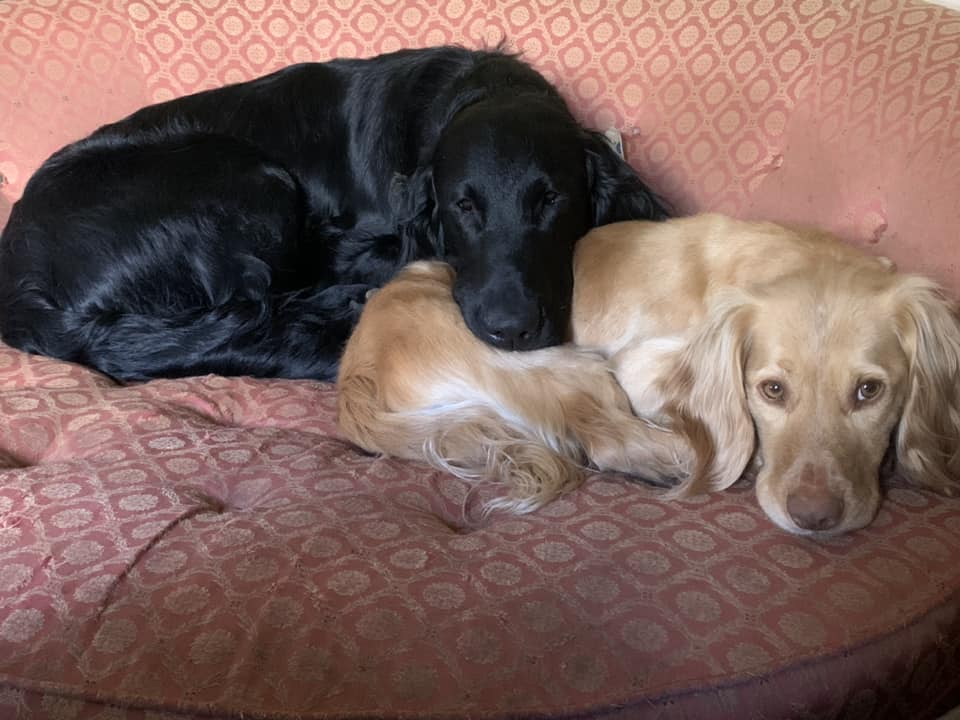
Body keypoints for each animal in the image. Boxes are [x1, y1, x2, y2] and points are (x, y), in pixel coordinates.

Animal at [0, 45, 668, 382]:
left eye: (552, 200)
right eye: (464, 206)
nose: (511, 329)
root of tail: (20, 287)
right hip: (255, 184)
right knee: (249, 310)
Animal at [334, 214, 956, 536]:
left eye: (870, 391)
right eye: (771, 390)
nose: (815, 517)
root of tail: (354, 378)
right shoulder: (639, 366)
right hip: (568, 366)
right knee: (608, 442)